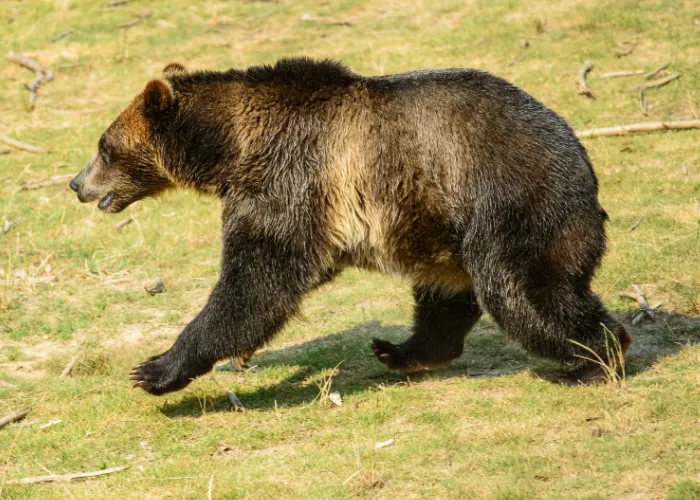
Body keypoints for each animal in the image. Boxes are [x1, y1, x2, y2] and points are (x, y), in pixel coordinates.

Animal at [69, 58, 628, 394]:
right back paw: (400, 351)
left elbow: (256, 283)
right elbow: (282, 279)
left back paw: (592, 360)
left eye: (104, 147)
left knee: (523, 292)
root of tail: (584, 170)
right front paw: (236, 355)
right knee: (446, 297)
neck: (231, 149)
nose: (77, 183)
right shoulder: (316, 207)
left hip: (509, 205)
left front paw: (156, 367)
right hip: (437, 227)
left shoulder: (289, 179)